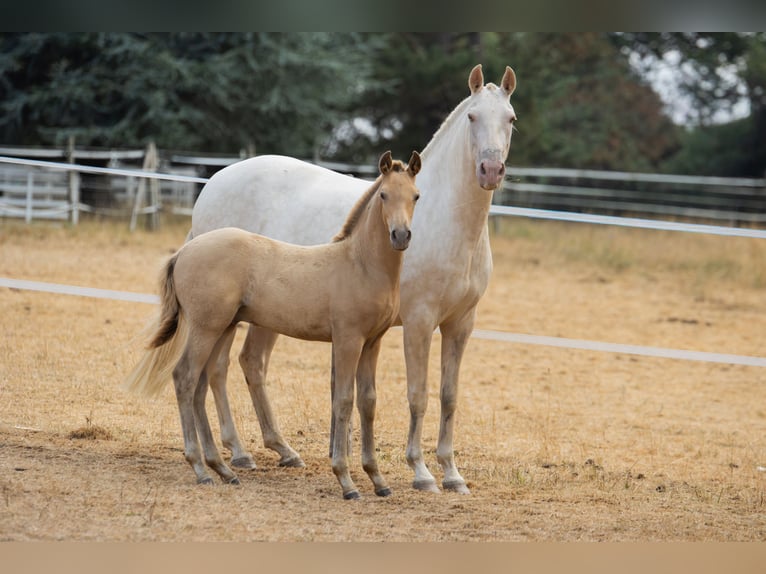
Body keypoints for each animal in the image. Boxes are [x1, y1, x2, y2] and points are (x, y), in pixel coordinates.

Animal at [125, 151, 422, 499]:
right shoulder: (348, 339)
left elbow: (368, 401)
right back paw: (201, 468)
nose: (400, 236)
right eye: (384, 195)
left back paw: (223, 469)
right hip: (205, 328)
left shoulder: (373, 341)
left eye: (416, 196)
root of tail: (184, 251)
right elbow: (344, 400)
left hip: (222, 327)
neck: (358, 264)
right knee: (185, 378)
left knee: (201, 384)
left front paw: (378, 480)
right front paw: (346, 481)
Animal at [191, 64, 517, 494]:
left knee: (251, 363)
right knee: (218, 369)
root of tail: (214, 182)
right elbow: (418, 395)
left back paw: (282, 451)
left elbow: (448, 396)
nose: (490, 170)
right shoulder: (419, 323)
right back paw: (239, 454)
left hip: (263, 316)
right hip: (227, 316)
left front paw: (452, 474)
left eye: (510, 119)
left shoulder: (460, 325)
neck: (446, 220)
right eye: (472, 117)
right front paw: (421, 472)